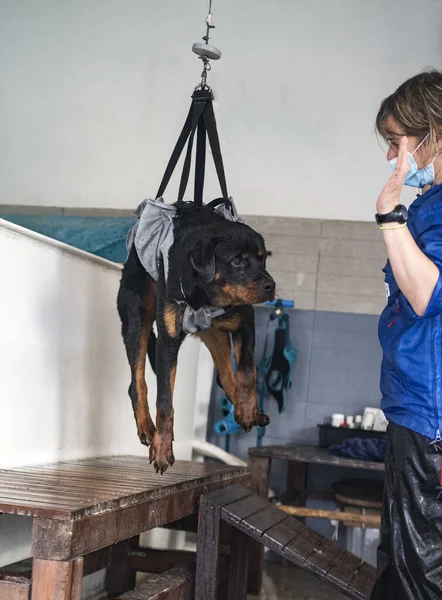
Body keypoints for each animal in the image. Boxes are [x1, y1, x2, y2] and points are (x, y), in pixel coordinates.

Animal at [117, 202, 276, 474]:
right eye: (237, 261)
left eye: (262, 257)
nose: (271, 286)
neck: (207, 296)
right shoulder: (167, 341)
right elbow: (164, 400)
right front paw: (162, 447)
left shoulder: (245, 322)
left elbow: (247, 371)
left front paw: (247, 410)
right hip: (136, 321)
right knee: (137, 383)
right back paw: (147, 428)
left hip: (214, 332)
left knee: (226, 376)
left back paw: (249, 410)